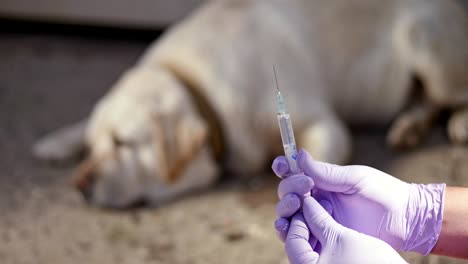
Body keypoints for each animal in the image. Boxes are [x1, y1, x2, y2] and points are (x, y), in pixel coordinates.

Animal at [33, 0, 468, 208]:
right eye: (93, 146)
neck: (194, 82)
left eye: (123, 144)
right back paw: (409, 126)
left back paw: (457, 123)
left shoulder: (324, 124)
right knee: (424, 101)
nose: (78, 185)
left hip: (427, 46)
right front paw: (57, 141)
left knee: (451, 95)